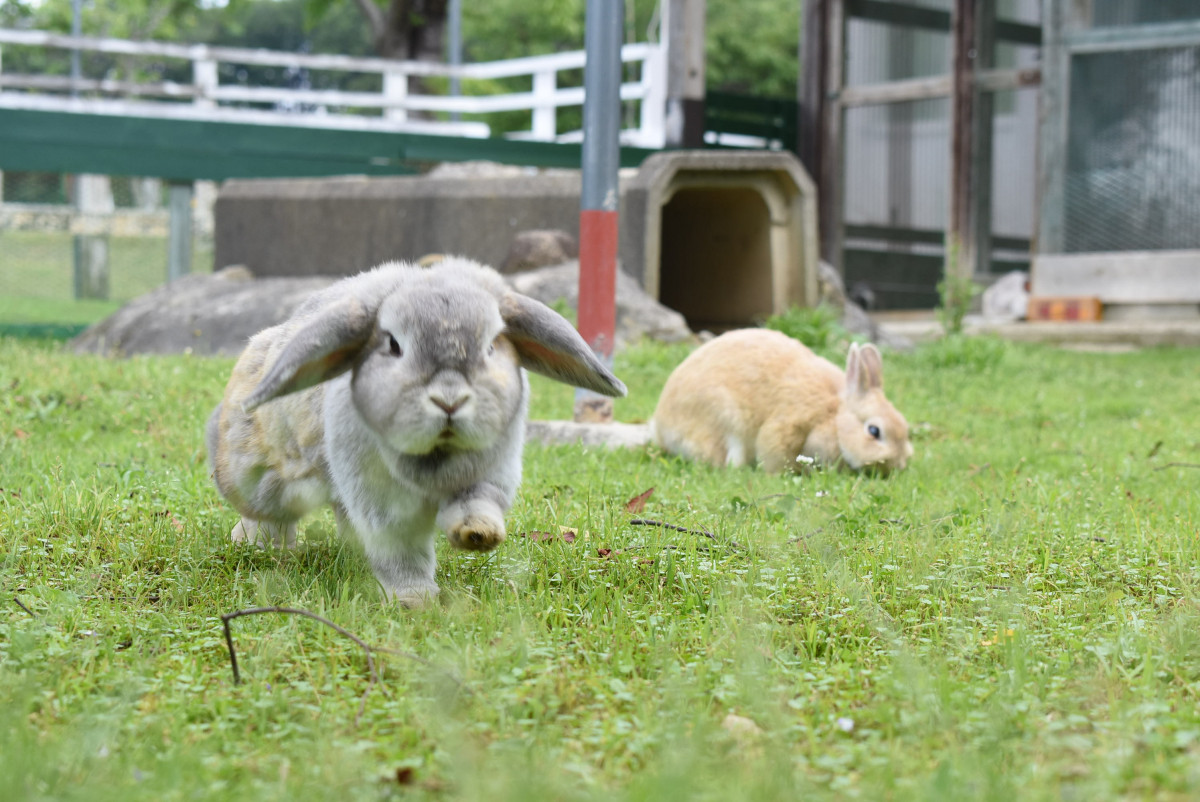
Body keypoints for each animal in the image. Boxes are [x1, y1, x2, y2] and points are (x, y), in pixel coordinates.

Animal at [204, 260, 628, 605]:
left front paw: (478, 535)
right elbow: (402, 550)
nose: (449, 400)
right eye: (394, 344)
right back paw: (259, 547)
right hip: (259, 476)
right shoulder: (383, 505)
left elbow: (478, 504)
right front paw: (415, 600)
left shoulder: (488, 475)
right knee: (265, 515)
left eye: (492, 346)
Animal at [652, 326, 912, 473]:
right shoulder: (789, 423)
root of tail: (661, 427)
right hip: (725, 421)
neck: (835, 417)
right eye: (874, 431)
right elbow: (773, 449)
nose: (898, 464)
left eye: (904, 427)